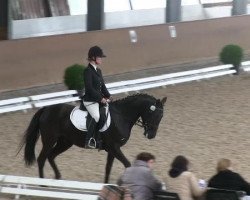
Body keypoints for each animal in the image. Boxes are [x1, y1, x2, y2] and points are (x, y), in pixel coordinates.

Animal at [19, 94, 167, 183]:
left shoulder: (112, 149)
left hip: (65, 142)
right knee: (42, 159)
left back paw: (58, 179)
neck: (121, 116)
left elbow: (108, 168)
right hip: (49, 140)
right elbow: (127, 164)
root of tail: (46, 109)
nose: (151, 135)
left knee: (51, 156)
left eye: (161, 117)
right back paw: (43, 185)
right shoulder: (114, 147)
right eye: (153, 114)